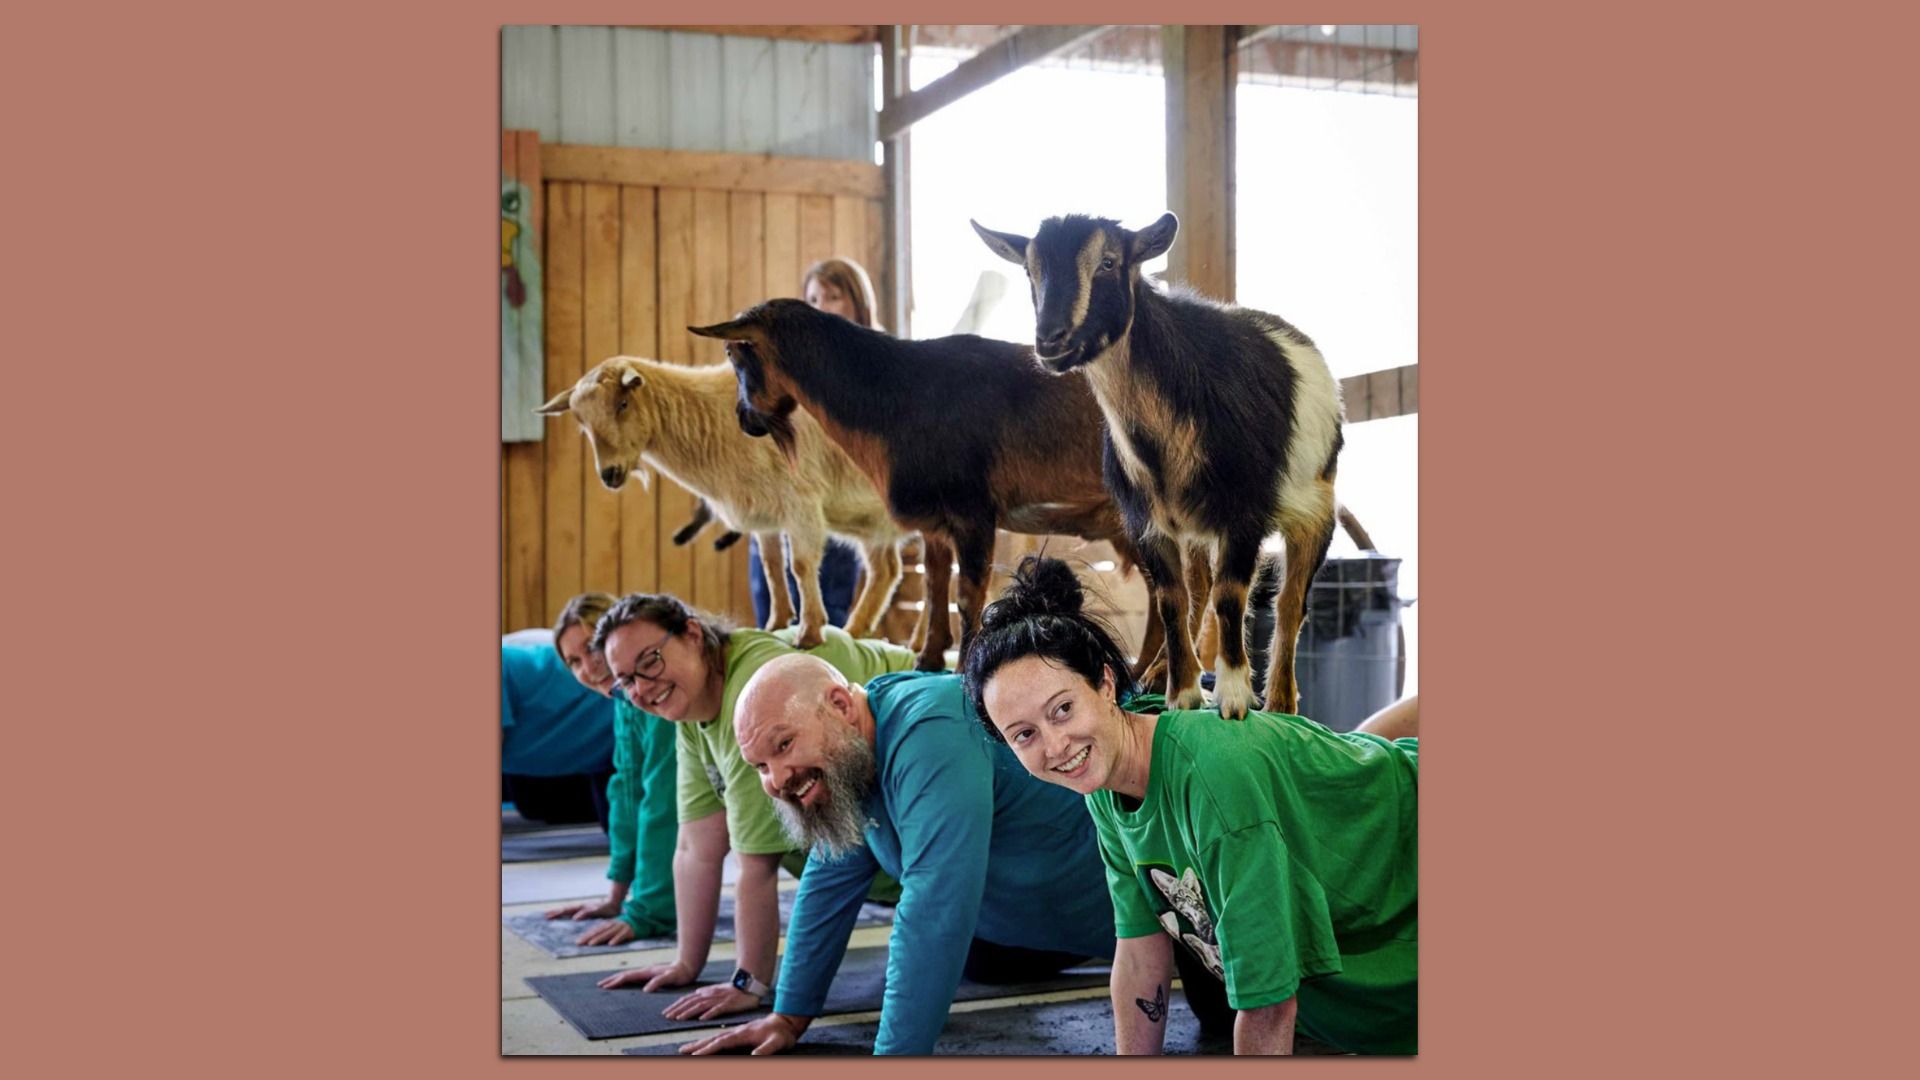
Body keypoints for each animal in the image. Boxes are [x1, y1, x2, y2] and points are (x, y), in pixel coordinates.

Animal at [536, 356, 906, 647]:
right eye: (581, 421)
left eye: (622, 404)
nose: (610, 474)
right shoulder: (766, 511)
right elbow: (773, 568)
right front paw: (775, 624)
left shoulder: (800, 499)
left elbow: (800, 565)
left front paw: (810, 633)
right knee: (886, 571)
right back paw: (858, 630)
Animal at [687, 299, 1173, 679]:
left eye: (733, 351)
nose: (744, 420)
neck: (897, 395)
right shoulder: (936, 523)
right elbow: (934, 586)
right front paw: (928, 659)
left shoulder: (973, 510)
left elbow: (967, 592)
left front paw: (964, 665)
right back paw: (1140, 670)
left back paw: (1155, 676)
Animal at [972, 212, 1344, 718]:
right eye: (1030, 270)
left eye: (1109, 262)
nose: (1050, 340)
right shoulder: (1147, 522)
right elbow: (1172, 599)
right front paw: (1182, 691)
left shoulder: (1243, 513)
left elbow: (1232, 595)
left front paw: (1234, 697)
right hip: (1196, 526)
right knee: (1198, 589)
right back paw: (1159, 671)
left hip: (1317, 506)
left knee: (1290, 602)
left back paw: (1282, 701)